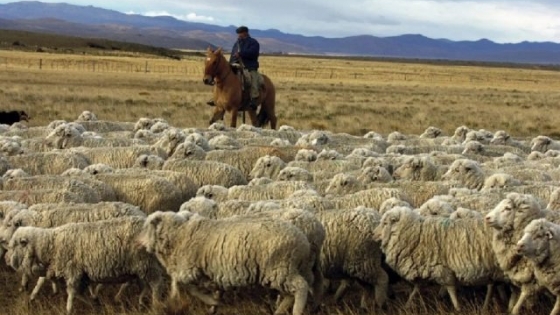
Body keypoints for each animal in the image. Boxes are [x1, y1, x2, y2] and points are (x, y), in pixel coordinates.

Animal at [6, 218, 164, 314]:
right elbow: (79, 293)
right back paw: (141, 302)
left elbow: (71, 294)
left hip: (147, 264)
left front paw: (68, 310)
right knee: (144, 286)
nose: (6, 260)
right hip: (141, 267)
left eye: (16, 244)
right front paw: (94, 303)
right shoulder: (80, 275)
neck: (51, 244)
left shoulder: (73, 272)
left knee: (156, 285)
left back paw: (155, 305)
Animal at [138, 211, 312, 315]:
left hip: (279, 268)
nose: (138, 242)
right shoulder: (210, 274)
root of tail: (303, 242)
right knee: (290, 294)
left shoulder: (190, 270)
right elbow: (212, 290)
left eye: (146, 226)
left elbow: (189, 288)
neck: (179, 236)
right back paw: (280, 311)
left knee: (301, 287)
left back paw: (297, 311)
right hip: (283, 271)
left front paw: (212, 302)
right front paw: (214, 306)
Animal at [376, 206, 504, 312]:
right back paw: (488, 305)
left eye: (385, 223)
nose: (373, 234)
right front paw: (407, 304)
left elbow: (451, 289)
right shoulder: (424, 267)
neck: (417, 234)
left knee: (492, 286)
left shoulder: (443, 269)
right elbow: (417, 288)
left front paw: (457, 308)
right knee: (492, 285)